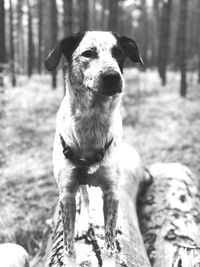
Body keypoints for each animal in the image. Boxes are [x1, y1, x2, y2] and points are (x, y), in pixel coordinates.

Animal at [44, 31, 143, 266]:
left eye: (118, 53)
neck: (92, 122)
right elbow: (68, 243)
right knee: (85, 198)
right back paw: (82, 224)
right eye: (88, 53)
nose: (113, 76)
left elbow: (110, 238)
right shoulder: (66, 192)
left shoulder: (111, 192)